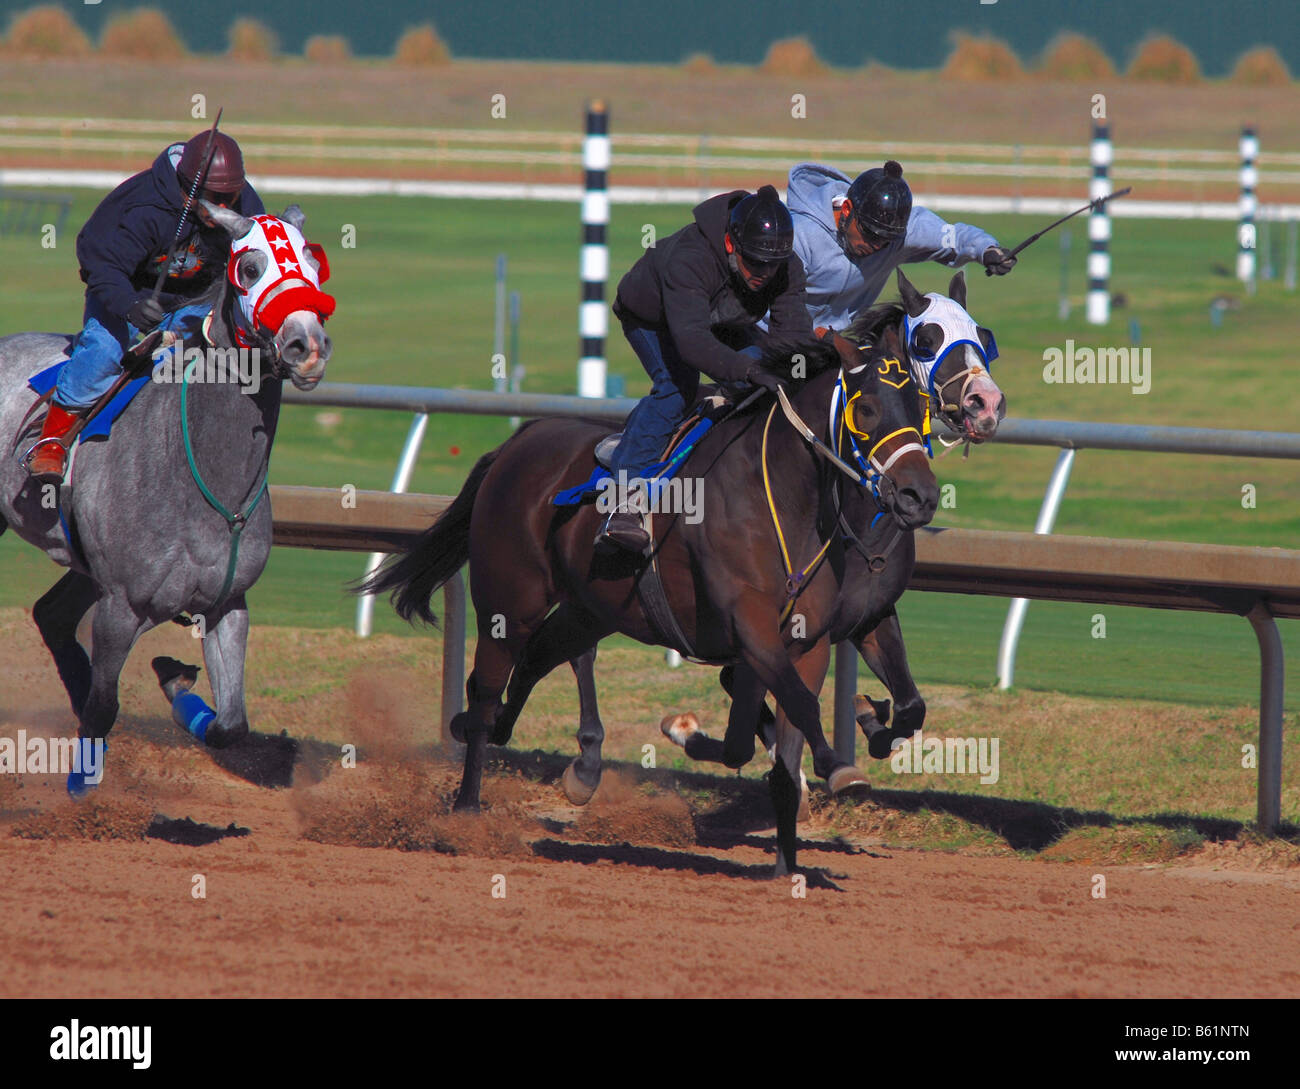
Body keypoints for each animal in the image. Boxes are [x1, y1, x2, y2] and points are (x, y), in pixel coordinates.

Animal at [2, 200, 335, 790]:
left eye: (316, 268)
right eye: (250, 266)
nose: (308, 347)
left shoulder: (227, 603)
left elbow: (230, 725)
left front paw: (176, 683)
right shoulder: (120, 604)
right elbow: (102, 709)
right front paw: (82, 790)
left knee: (52, 615)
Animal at [364, 328, 935, 873]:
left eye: (920, 408)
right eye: (866, 408)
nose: (921, 497)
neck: (785, 498)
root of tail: (520, 440)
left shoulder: (808, 639)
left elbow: (782, 732)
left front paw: (788, 862)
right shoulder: (750, 624)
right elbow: (797, 708)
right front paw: (838, 765)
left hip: (589, 609)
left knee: (535, 662)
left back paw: (563, 762)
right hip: (509, 601)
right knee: (486, 690)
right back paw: (466, 810)